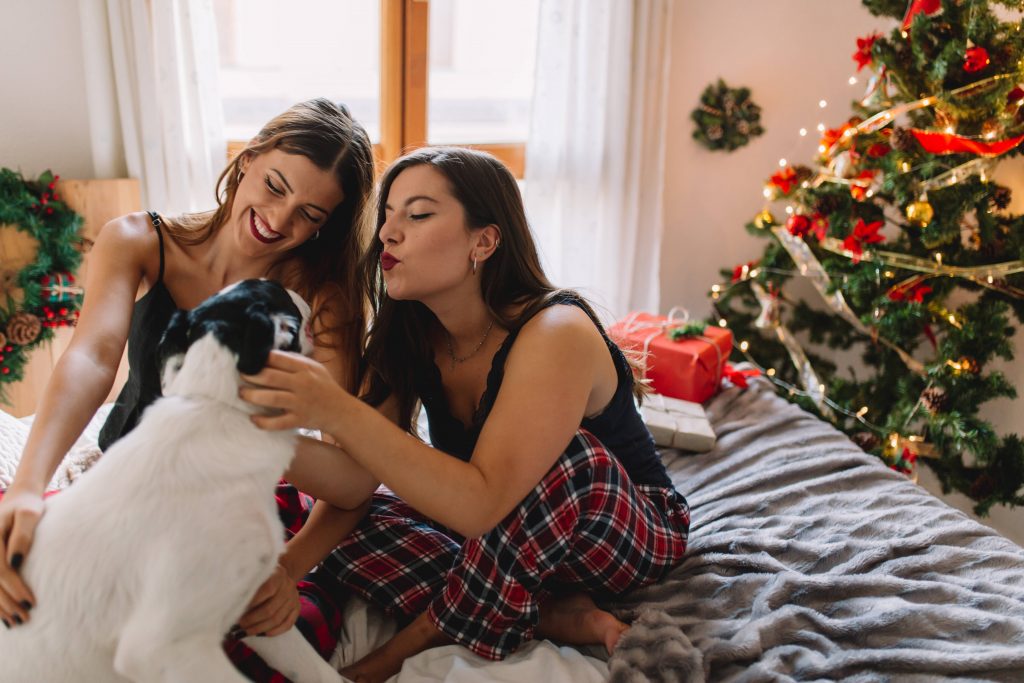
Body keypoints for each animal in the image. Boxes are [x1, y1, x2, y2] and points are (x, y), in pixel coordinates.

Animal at [0, 278, 346, 683]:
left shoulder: (252, 607)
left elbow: (319, 670)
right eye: (281, 294)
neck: (214, 406)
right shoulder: (165, 650)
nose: (309, 302)